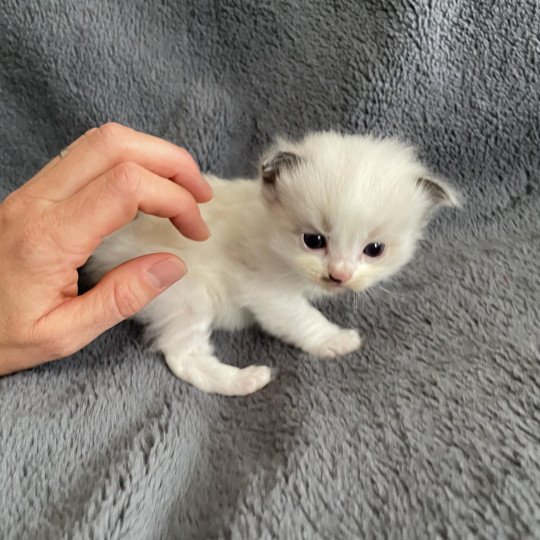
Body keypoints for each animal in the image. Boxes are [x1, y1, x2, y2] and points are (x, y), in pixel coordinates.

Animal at [86, 132, 458, 396]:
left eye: (374, 249)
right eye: (313, 240)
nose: (339, 275)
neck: (268, 231)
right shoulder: (266, 291)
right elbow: (303, 320)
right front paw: (336, 340)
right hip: (185, 292)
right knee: (183, 356)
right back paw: (245, 380)